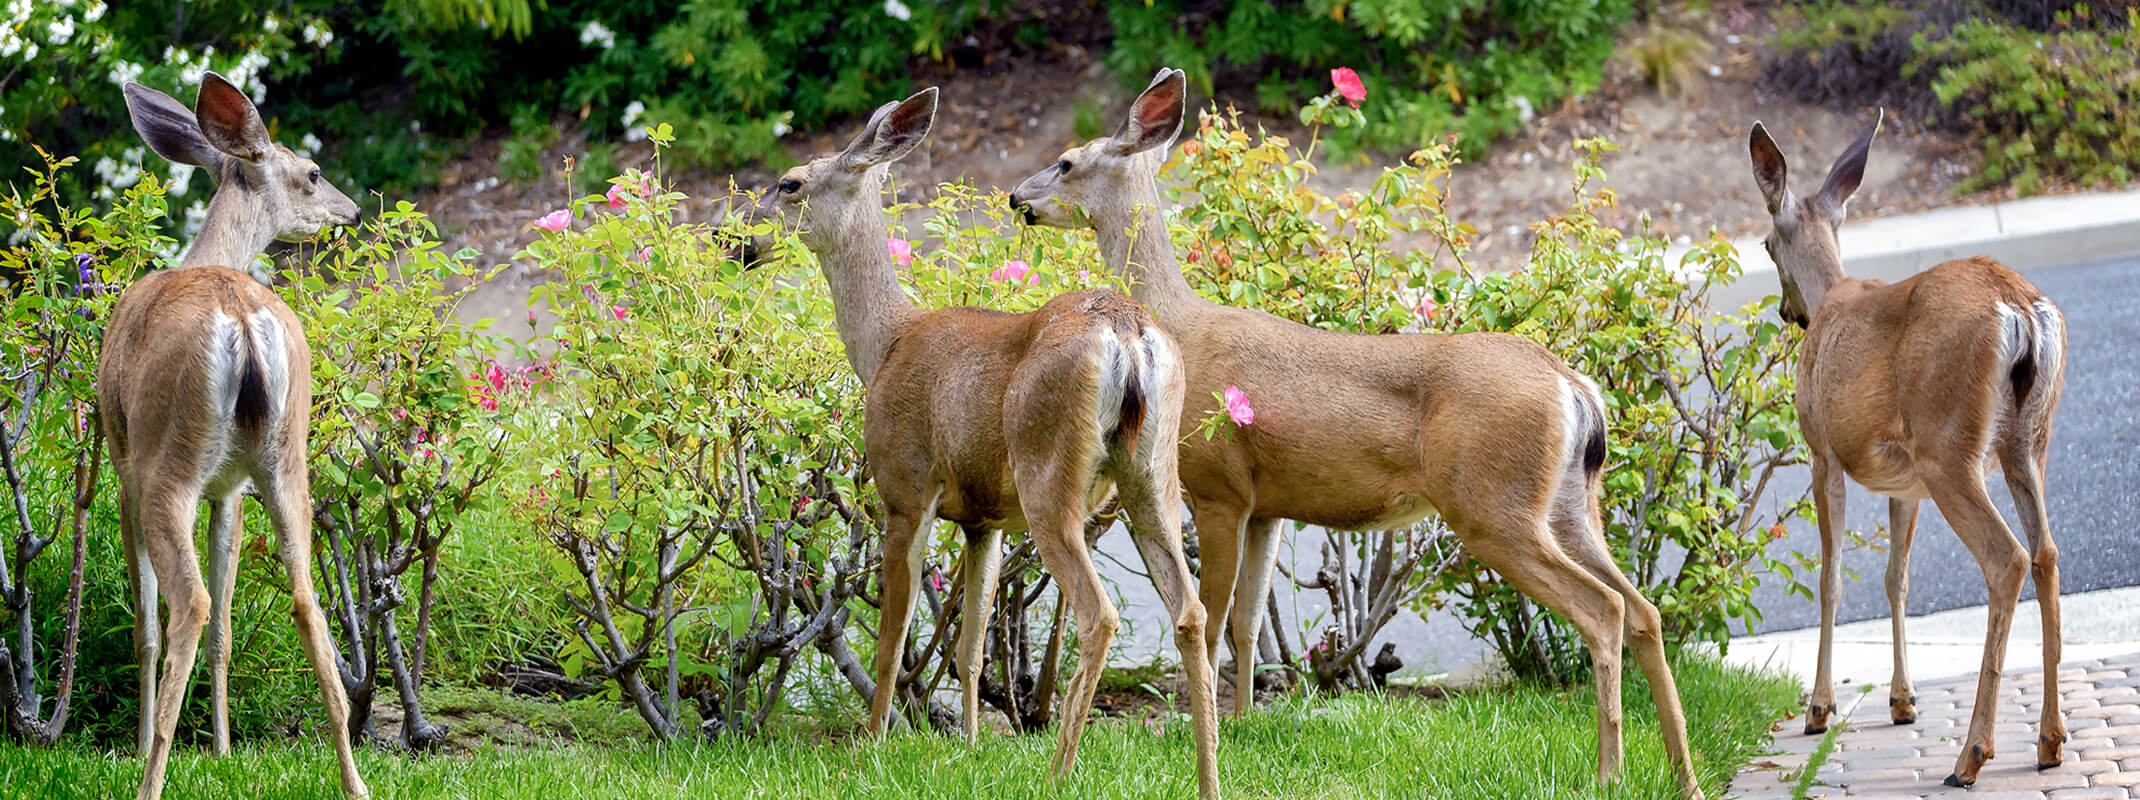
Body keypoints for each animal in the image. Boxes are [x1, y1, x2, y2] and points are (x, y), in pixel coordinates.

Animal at [104, 73, 365, 800]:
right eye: (314, 172)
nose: (353, 209)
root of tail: (243, 317)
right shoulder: (231, 488)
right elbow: (226, 621)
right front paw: (222, 751)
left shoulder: (122, 463)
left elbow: (146, 622)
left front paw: (142, 747)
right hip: (285, 459)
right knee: (305, 599)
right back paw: (354, 779)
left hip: (167, 465)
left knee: (186, 606)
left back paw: (150, 776)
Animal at [744, 89, 1224, 800]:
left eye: (790, 183)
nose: (738, 240)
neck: (885, 345)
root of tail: (1128, 333)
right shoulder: (983, 519)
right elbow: (969, 646)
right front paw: (969, 746)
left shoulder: (905, 487)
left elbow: (892, 640)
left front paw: (872, 744)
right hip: (1154, 473)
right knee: (1190, 611)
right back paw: (1207, 778)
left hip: (1048, 471)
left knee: (1099, 613)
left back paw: (1058, 773)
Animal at [1005, 70, 1703, 800]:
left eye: (1067, 161)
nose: (1017, 197)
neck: (1181, 323)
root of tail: (1574, 385)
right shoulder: (1267, 505)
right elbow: (1250, 619)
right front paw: (1246, 722)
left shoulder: (1219, 486)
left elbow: (1217, 617)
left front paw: (1216, 730)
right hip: (1569, 502)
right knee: (1645, 610)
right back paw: (1683, 773)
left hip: (1495, 506)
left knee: (1603, 610)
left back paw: (1609, 771)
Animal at [1746, 112, 2062, 787]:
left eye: (1763, 245)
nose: (1788, 312)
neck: (1833, 294)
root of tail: (2020, 310)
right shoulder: (1905, 481)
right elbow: (1898, 577)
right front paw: (1902, 699)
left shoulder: (1822, 452)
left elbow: (1832, 576)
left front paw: (1818, 708)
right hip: (2026, 443)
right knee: (2046, 552)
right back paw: (2050, 742)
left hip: (1950, 447)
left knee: (2008, 558)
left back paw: (1971, 755)